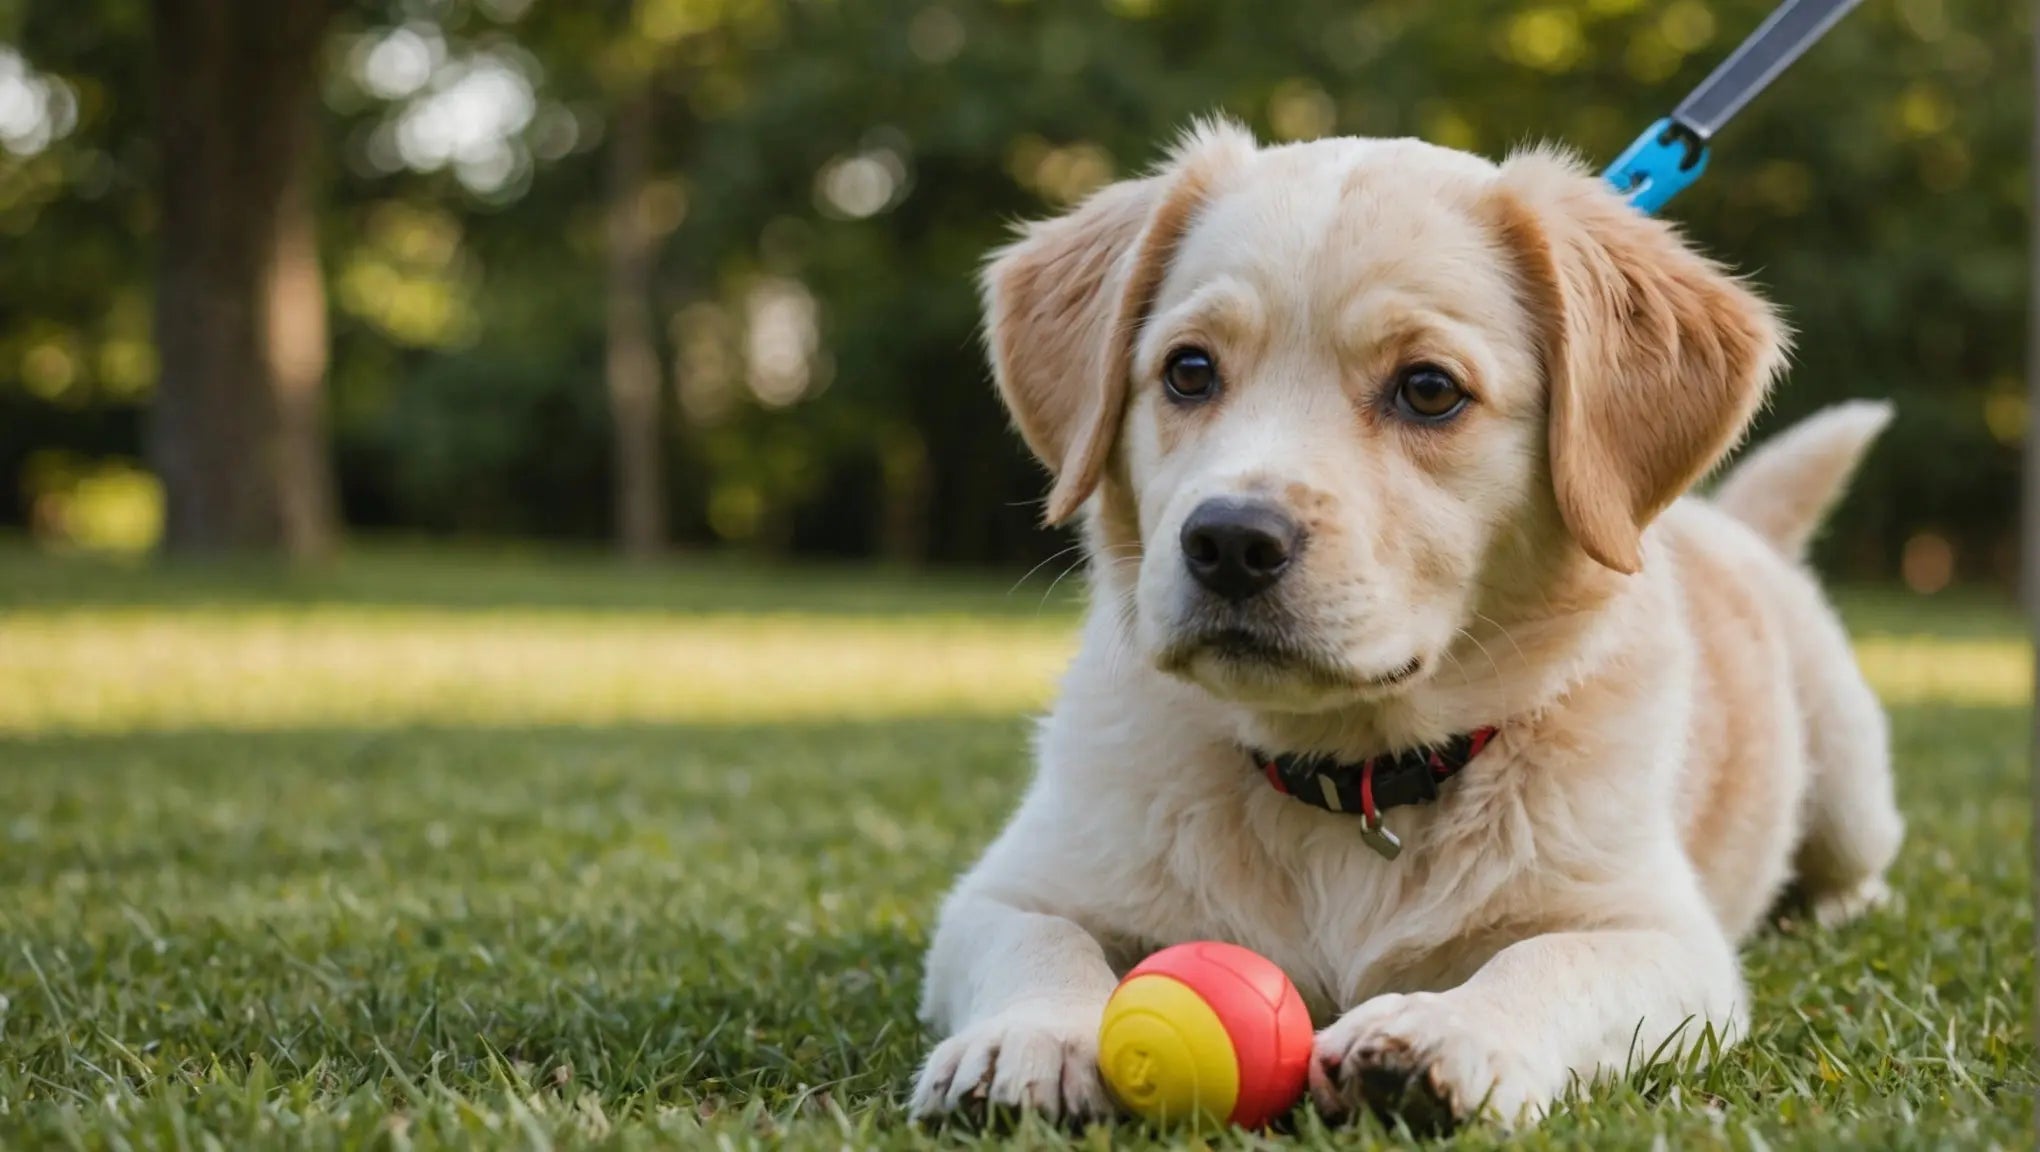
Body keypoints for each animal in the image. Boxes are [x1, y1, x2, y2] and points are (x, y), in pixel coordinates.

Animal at [909, 121, 1893, 1125]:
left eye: (1428, 390)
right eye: (1188, 371)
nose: (1229, 541)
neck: (1351, 778)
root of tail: (1732, 522)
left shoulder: (1660, 937)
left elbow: (1547, 960)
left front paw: (1445, 1031)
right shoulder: (1004, 892)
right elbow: (1043, 941)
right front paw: (1028, 1039)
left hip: (1852, 788)